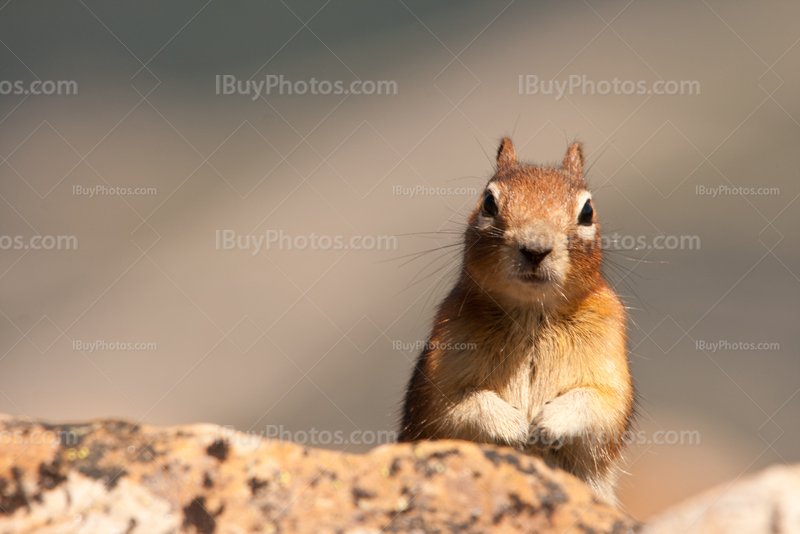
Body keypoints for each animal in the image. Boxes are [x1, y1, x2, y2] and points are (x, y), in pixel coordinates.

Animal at [404, 137, 636, 502]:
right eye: (488, 202)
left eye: (587, 211)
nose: (535, 248)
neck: (532, 315)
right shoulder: (437, 383)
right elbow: (458, 407)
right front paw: (514, 426)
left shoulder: (610, 360)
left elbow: (602, 404)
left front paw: (545, 423)